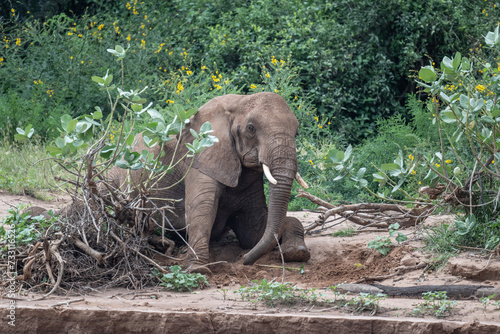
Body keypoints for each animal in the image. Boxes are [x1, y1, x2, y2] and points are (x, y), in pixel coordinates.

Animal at [30, 92, 312, 274]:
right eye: (251, 128)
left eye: (297, 131)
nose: (244, 263)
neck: (237, 102)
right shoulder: (200, 157)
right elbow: (201, 210)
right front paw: (198, 269)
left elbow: (254, 230)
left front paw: (297, 251)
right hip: (110, 181)